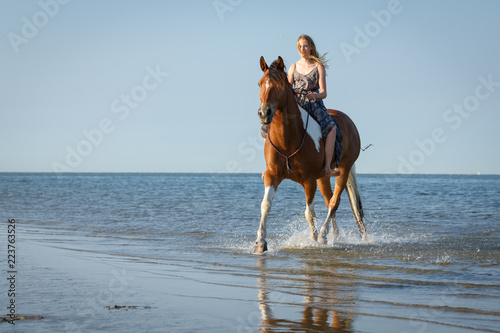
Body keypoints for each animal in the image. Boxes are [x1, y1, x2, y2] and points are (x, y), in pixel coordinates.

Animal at [254, 55, 368, 253]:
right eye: (260, 83)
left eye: (279, 85)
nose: (263, 113)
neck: (288, 139)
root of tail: (350, 123)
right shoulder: (272, 175)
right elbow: (265, 205)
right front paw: (260, 243)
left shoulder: (308, 180)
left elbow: (309, 213)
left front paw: (313, 240)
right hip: (324, 176)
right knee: (330, 201)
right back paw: (335, 236)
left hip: (343, 170)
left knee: (334, 201)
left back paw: (323, 235)